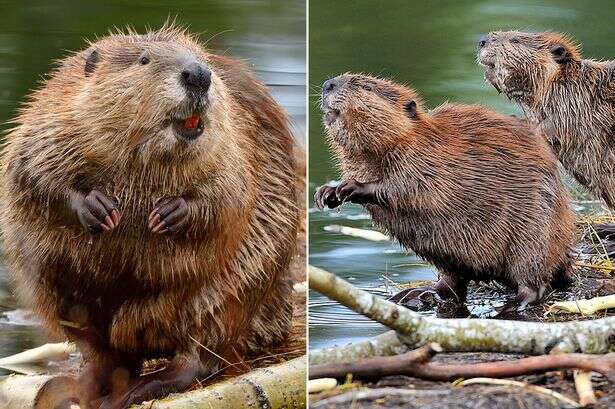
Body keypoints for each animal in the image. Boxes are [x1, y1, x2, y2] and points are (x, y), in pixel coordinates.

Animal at [0, 23, 298, 406]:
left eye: (200, 59)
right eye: (144, 59)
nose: (198, 74)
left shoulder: (235, 138)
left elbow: (230, 192)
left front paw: (169, 213)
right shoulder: (53, 116)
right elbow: (31, 170)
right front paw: (99, 209)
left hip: (229, 292)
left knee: (201, 353)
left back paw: (140, 387)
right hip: (60, 297)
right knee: (104, 353)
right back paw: (77, 386)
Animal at [316, 72, 576, 310]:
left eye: (366, 86)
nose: (328, 84)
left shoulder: (424, 159)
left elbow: (408, 188)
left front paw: (352, 187)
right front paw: (326, 193)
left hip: (534, 234)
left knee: (533, 280)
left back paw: (514, 305)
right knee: (452, 285)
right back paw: (414, 294)